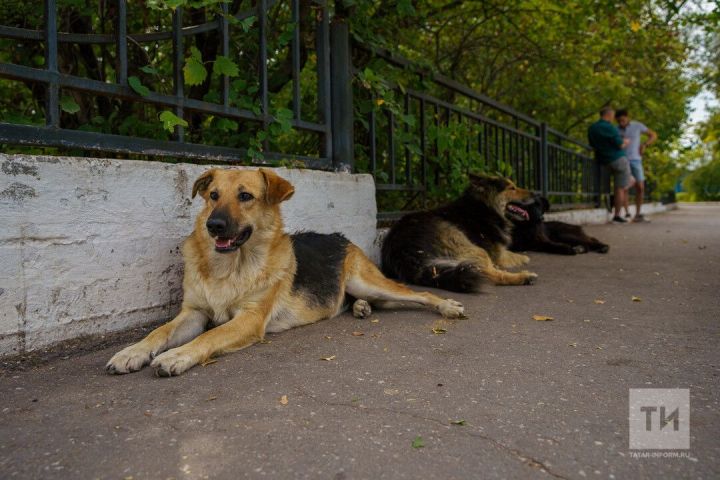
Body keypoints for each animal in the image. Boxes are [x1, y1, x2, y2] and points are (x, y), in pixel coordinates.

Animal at [106, 167, 464, 376]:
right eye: (213, 196)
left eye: (245, 196)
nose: (214, 225)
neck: (230, 268)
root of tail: (341, 237)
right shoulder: (193, 313)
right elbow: (159, 332)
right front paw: (131, 352)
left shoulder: (249, 319)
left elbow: (211, 335)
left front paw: (177, 355)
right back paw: (360, 308)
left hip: (367, 281)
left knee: (420, 294)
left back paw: (448, 306)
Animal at [382, 172, 540, 292]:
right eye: (512, 188)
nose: (536, 194)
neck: (485, 207)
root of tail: (403, 251)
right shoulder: (498, 255)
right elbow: (515, 256)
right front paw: (524, 259)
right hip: (470, 246)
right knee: (488, 274)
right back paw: (523, 277)